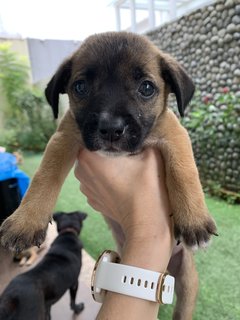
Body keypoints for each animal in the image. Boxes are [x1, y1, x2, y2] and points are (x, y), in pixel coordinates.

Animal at [0, 31, 218, 318]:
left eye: (146, 88)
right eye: (80, 87)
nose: (111, 128)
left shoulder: (174, 133)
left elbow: (184, 170)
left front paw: (194, 218)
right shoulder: (63, 139)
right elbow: (44, 176)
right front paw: (26, 221)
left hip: (188, 281)